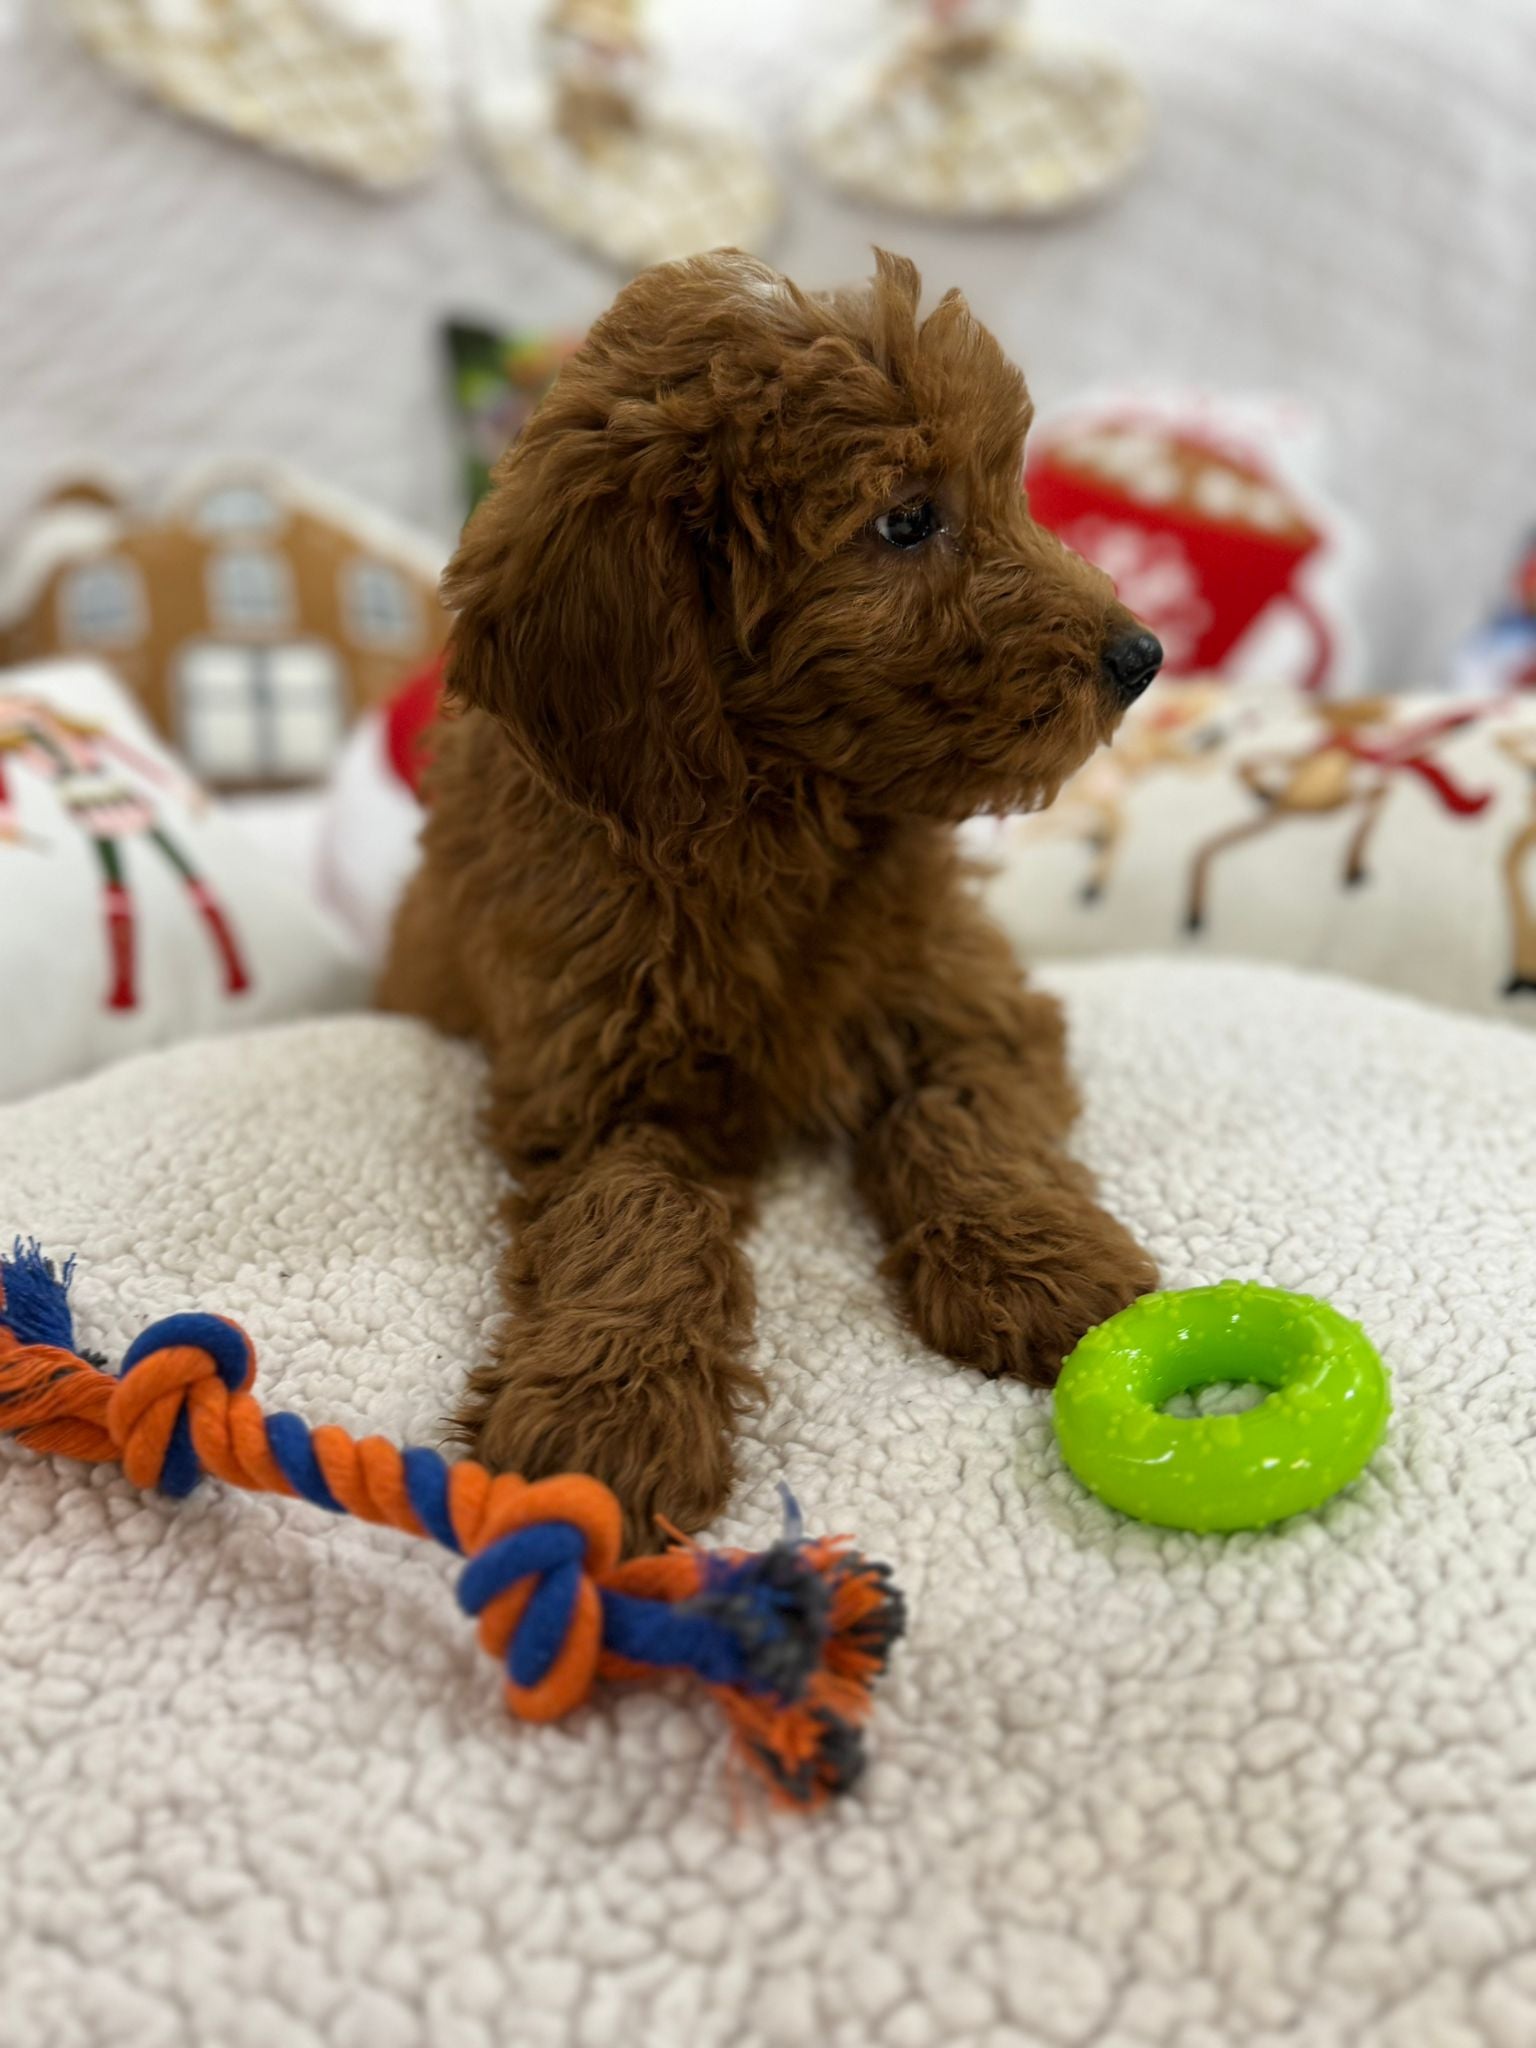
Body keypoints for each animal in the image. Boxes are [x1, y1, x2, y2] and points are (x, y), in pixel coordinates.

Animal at [378, 247, 1163, 1540]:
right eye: (906, 520)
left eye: (1006, 488)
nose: (1142, 655)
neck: (778, 821)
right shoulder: (590, 1076)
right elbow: (636, 1212)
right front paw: (610, 1410)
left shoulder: (970, 997)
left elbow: (963, 1110)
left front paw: (1044, 1266)